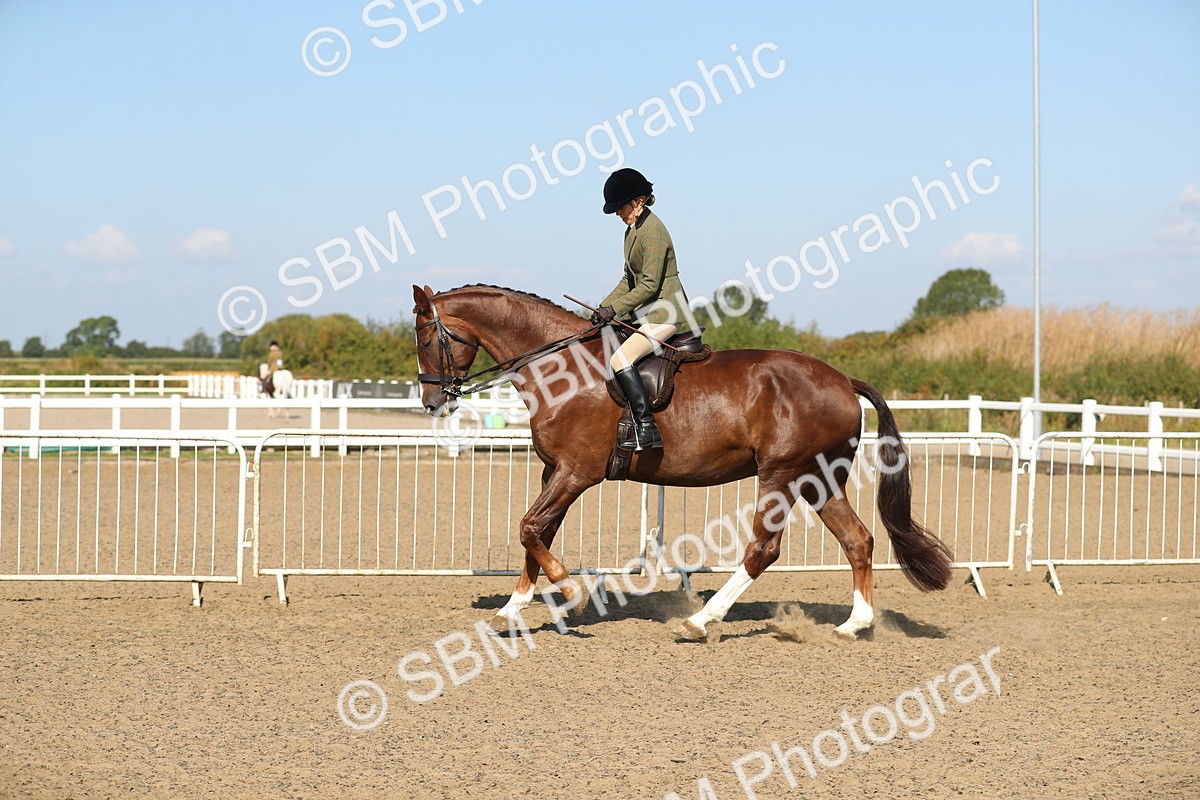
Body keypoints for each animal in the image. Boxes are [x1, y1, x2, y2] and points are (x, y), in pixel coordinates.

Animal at [412, 283, 954, 640]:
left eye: (427, 339)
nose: (433, 402)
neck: (561, 370)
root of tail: (842, 380)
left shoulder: (576, 473)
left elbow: (529, 527)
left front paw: (571, 593)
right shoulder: (554, 471)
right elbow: (536, 533)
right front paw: (513, 609)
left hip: (781, 476)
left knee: (763, 549)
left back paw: (700, 620)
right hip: (818, 479)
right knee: (858, 540)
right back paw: (854, 624)